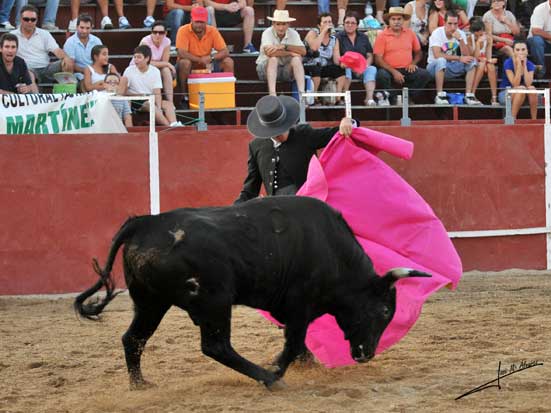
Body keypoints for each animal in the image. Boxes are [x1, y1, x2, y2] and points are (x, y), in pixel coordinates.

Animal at [74, 195, 432, 388]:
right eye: (384, 311)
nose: (366, 354)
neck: (332, 251)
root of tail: (145, 222)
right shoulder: (300, 304)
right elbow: (294, 341)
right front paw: (277, 368)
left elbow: (294, 341)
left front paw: (304, 364)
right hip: (214, 300)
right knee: (216, 346)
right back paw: (269, 379)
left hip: (151, 302)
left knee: (133, 338)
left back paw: (140, 384)